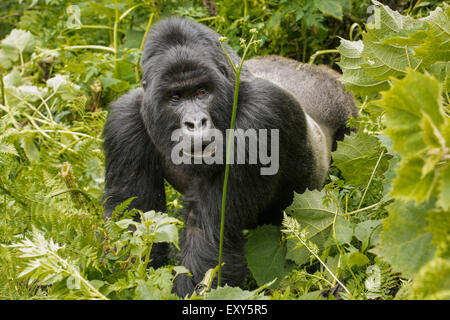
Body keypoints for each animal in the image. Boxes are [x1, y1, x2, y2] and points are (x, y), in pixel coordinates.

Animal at [103, 16, 358, 298]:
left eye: (202, 92)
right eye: (175, 97)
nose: (195, 122)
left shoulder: (262, 113)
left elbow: (210, 235)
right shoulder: (124, 119)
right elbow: (134, 221)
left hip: (346, 111)